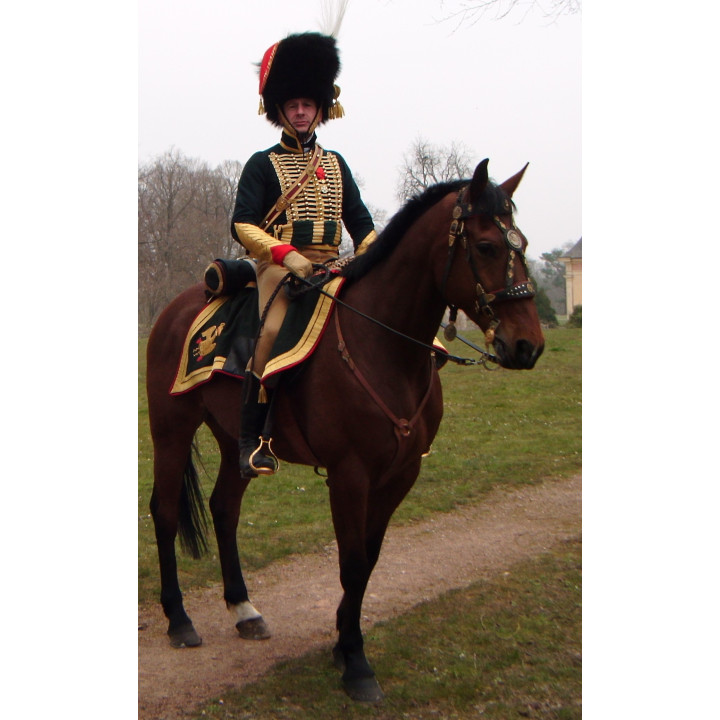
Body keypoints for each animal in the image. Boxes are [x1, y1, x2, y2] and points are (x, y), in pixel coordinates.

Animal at [145, 158, 544, 702]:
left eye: (521, 244)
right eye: (486, 246)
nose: (528, 345)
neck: (383, 343)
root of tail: (178, 306)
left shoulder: (400, 475)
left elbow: (369, 561)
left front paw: (342, 641)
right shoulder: (349, 475)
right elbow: (352, 561)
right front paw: (355, 662)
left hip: (234, 442)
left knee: (224, 509)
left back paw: (243, 609)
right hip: (171, 431)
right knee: (165, 513)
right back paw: (179, 619)